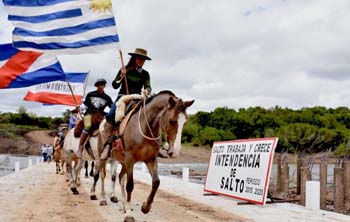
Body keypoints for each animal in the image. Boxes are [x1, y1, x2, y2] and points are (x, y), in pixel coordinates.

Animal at [105, 90, 194, 222]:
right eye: (171, 121)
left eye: (185, 122)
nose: (176, 151)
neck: (144, 127)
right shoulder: (130, 159)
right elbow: (130, 185)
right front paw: (129, 214)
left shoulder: (150, 159)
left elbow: (156, 182)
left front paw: (145, 207)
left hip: (124, 162)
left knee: (120, 177)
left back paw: (124, 205)